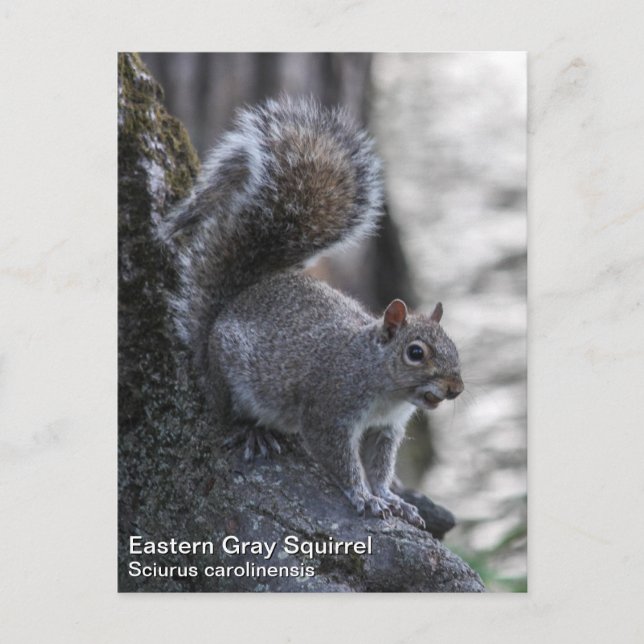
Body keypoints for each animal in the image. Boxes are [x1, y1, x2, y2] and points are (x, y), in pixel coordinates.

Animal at [162, 96, 463, 528]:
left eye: (455, 348)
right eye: (415, 353)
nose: (456, 388)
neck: (381, 382)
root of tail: (231, 305)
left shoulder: (386, 429)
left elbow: (381, 467)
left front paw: (392, 498)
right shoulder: (329, 411)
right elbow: (341, 460)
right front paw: (364, 498)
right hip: (230, 381)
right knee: (227, 413)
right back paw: (253, 430)